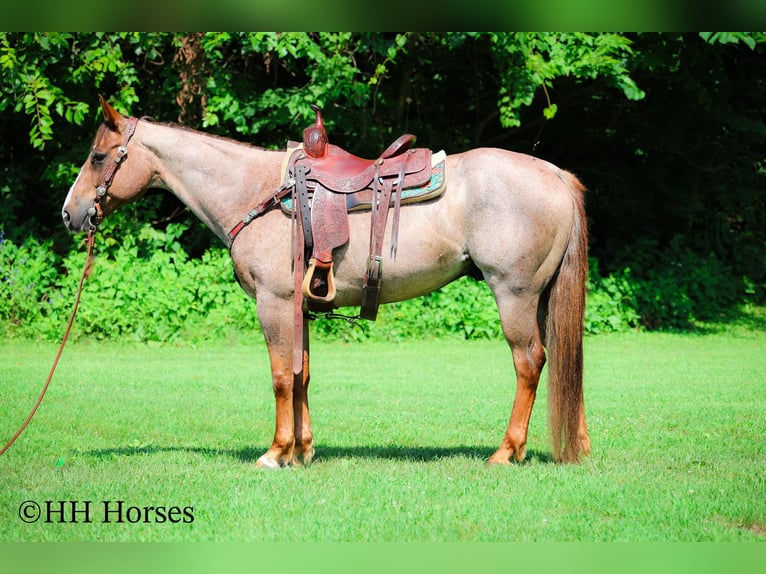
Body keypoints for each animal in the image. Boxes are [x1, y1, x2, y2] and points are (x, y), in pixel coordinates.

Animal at [62, 96, 591, 467]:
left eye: (98, 156)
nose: (70, 213)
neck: (256, 193)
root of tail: (555, 175)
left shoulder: (274, 303)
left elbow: (280, 376)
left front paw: (276, 453)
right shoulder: (299, 308)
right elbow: (302, 374)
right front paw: (304, 450)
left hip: (514, 294)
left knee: (530, 362)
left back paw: (506, 451)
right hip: (543, 298)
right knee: (567, 361)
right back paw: (578, 446)